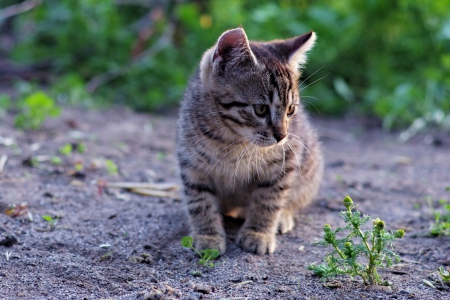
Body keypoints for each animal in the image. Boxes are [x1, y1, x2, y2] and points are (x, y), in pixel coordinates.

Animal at [177, 27, 324, 255]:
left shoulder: (286, 161)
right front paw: (207, 236)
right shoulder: (192, 163)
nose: (282, 136)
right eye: (260, 109)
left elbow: (269, 199)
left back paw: (283, 217)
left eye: (290, 110)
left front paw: (258, 233)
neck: (232, 141)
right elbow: (199, 202)